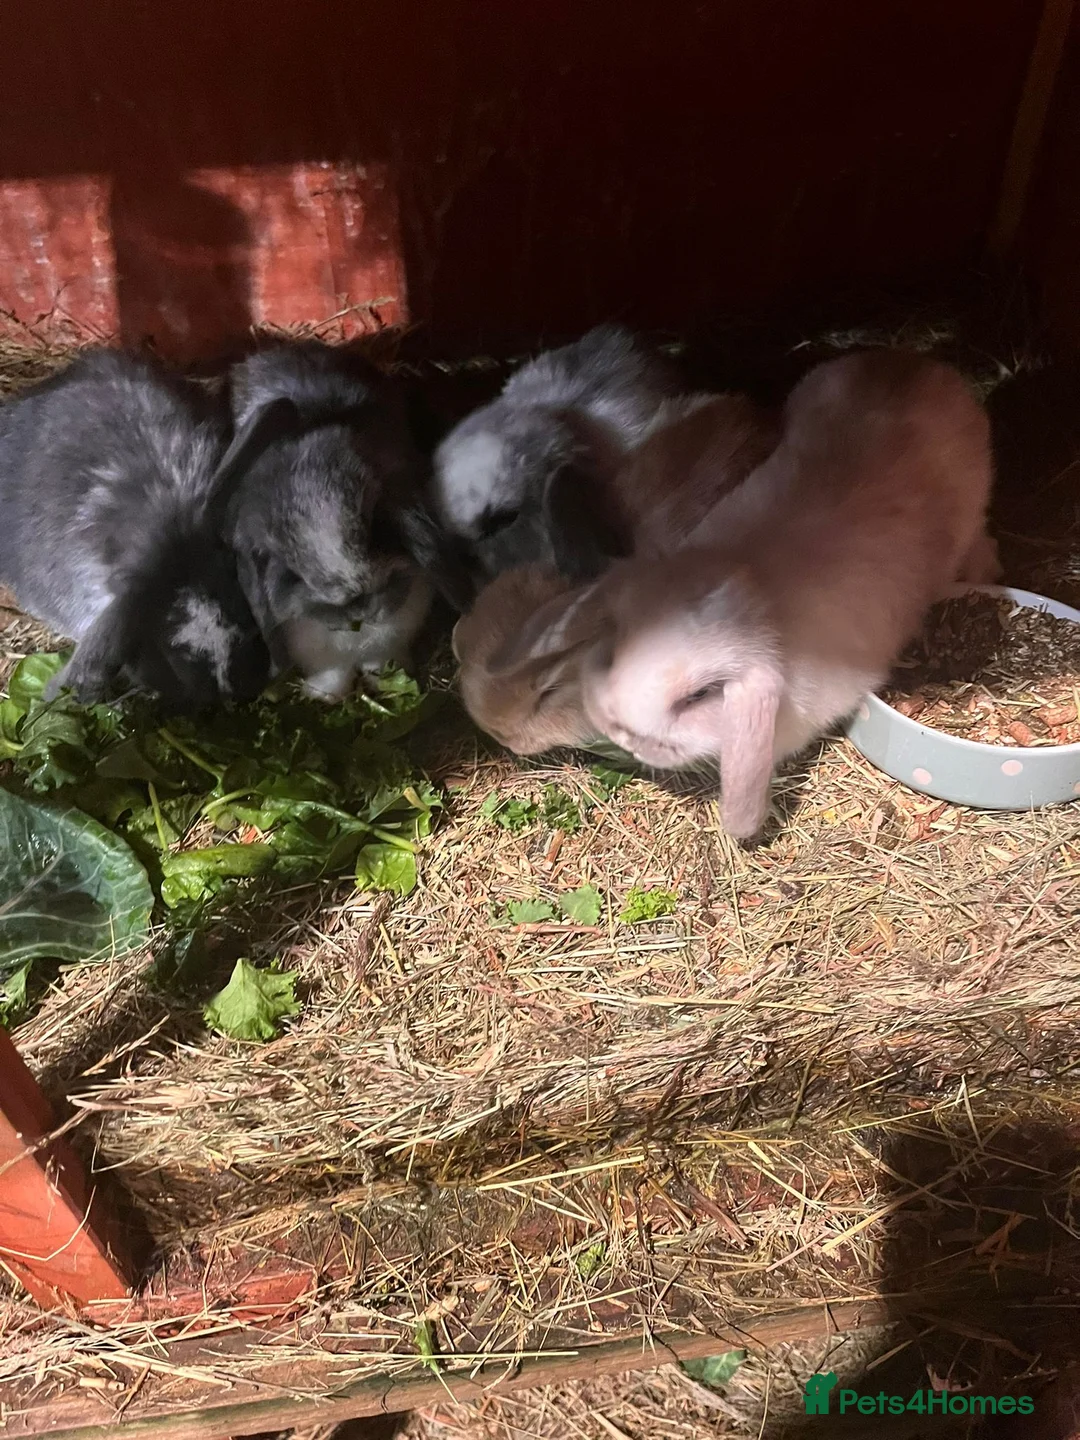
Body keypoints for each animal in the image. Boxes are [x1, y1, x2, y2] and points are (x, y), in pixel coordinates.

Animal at [225, 340, 472, 701]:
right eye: (292, 568)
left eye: (375, 527)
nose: (358, 604)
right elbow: (332, 673)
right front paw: (323, 696)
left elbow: (379, 660)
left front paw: (384, 679)